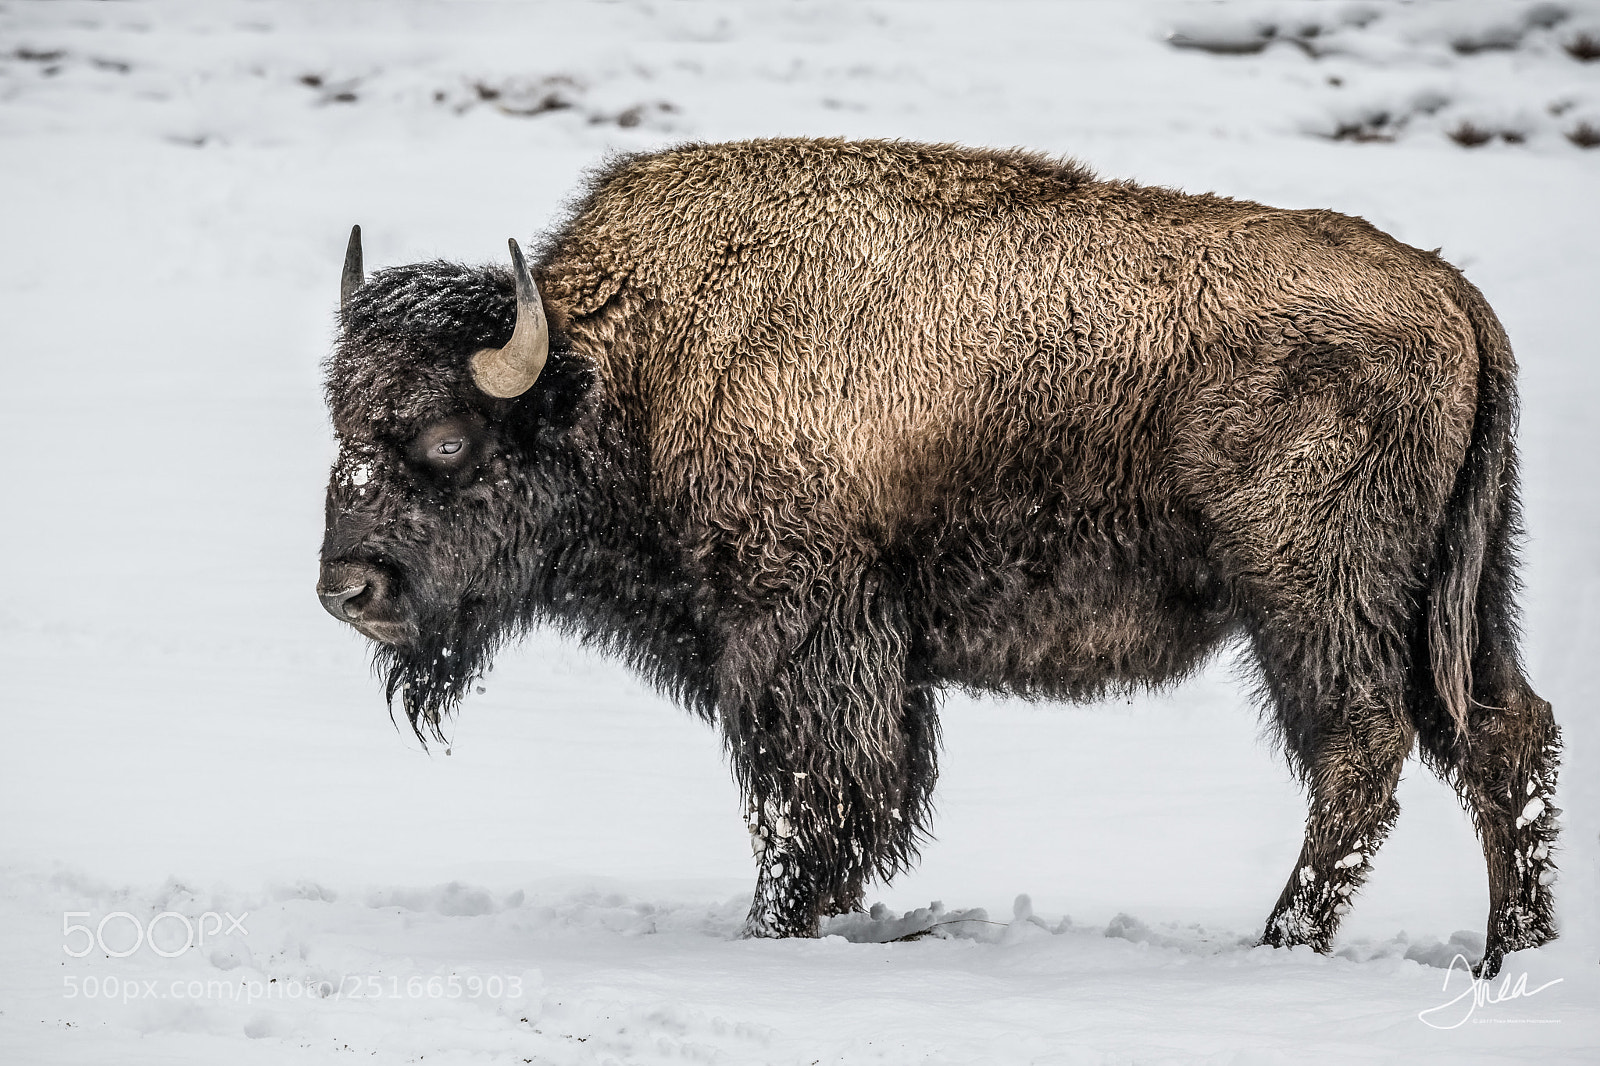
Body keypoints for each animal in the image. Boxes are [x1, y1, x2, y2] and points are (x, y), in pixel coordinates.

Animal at [319, 138, 1559, 976]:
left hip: (1310, 596)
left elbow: (811, 799)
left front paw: (774, 927)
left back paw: (1282, 944)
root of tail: (1449, 292)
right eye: (340, 423)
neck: (629, 367)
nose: (347, 588)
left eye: (445, 439)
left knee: (1361, 751)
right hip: (1458, 597)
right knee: (1505, 737)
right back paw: (1514, 953)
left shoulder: (803, 632)